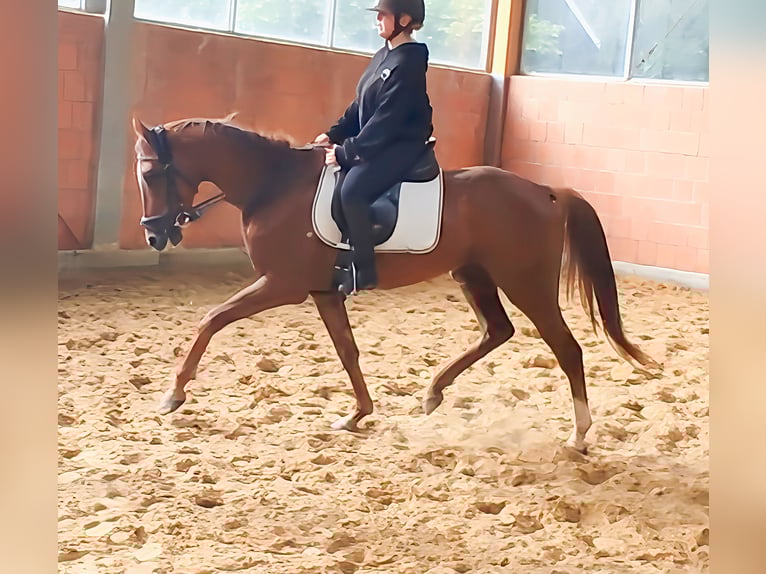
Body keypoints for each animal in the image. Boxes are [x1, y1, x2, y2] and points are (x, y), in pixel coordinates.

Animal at [131, 115, 658, 454]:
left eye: (151, 172)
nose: (155, 234)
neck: (274, 186)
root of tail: (546, 191)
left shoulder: (282, 284)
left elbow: (211, 319)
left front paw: (173, 395)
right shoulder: (323, 291)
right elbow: (347, 350)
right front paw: (358, 413)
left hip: (525, 282)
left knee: (566, 348)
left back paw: (578, 436)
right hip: (474, 274)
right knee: (498, 330)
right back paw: (433, 392)